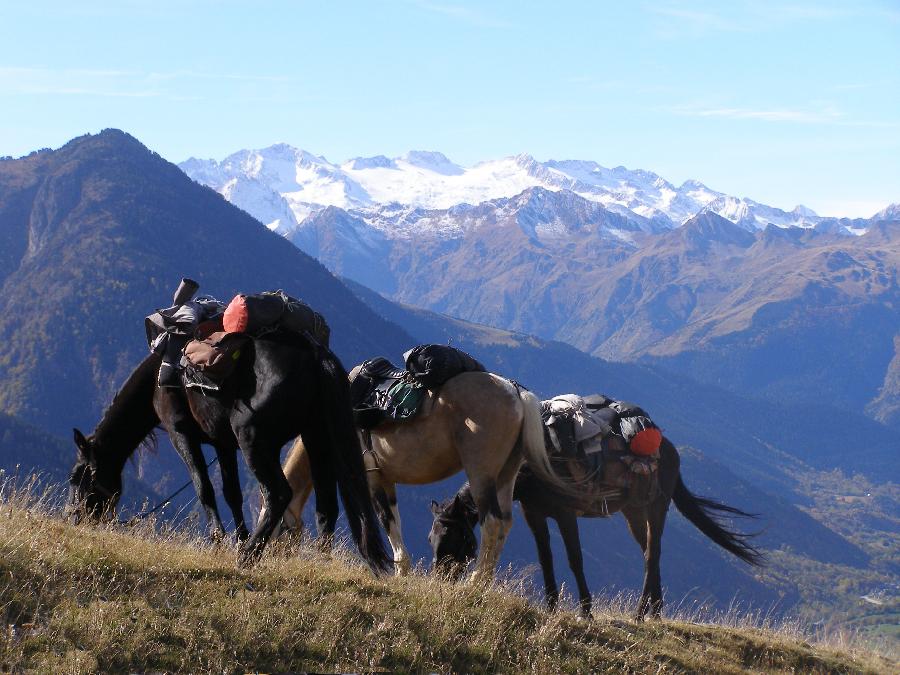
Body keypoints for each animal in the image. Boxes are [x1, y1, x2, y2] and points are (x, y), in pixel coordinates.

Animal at [68, 332, 392, 572]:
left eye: (76, 479)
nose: (75, 518)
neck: (158, 379)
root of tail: (315, 355)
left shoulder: (181, 433)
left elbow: (204, 488)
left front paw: (220, 540)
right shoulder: (222, 443)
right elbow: (231, 493)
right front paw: (238, 537)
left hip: (254, 440)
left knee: (278, 494)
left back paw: (248, 556)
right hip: (316, 437)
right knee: (326, 505)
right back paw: (317, 562)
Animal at [268, 370, 576, 580]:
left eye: (276, 525)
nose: (270, 556)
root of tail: (515, 393)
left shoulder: (370, 478)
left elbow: (382, 520)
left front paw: (395, 571)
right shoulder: (385, 478)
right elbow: (393, 519)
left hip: (482, 473)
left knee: (492, 522)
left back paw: (475, 583)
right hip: (506, 475)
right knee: (505, 524)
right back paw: (485, 582)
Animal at [428, 436, 760, 620]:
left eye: (456, 536)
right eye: (432, 537)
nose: (439, 579)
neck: (530, 467)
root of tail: (670, 450)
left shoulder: (565, 514)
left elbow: (575, 559)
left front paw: (585, 610)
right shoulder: (534, 514)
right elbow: (546, 559)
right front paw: (551, 605)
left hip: (656, 507)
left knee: (652, 553)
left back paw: (640, 613)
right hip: (633, 511)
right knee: (649, 553)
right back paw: (655, 610)